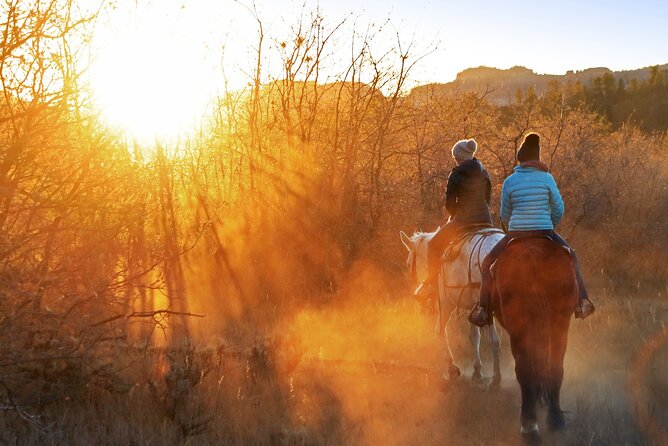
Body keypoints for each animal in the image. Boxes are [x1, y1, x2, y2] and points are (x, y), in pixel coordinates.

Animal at [402, 228, 506, 386]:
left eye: (408, 264)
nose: (418, 295)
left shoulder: (445, 302)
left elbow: (440, 330)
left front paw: (451, 368)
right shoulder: (473, 307)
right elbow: (474, 337)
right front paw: (477, 370)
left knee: (496, 340)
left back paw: (496, 378)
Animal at [490, 239, 580, 440]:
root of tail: (531, 254)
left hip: (520, 328)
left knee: (525, 370)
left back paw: (529, 424)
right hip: (558, 323)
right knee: (554, 366)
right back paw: (553, 418)